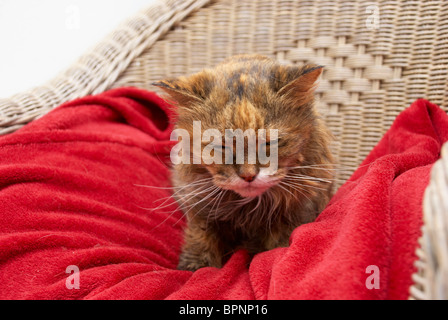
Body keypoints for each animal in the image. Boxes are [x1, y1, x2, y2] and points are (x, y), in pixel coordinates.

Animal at [153, 54, 332, 270]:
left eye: (270, 143)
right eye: (221, 146)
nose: (248, 176)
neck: (249, 210)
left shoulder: (299, 211)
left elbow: (276, 247)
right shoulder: (198, 207)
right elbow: (200, 239)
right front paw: (196, 267)